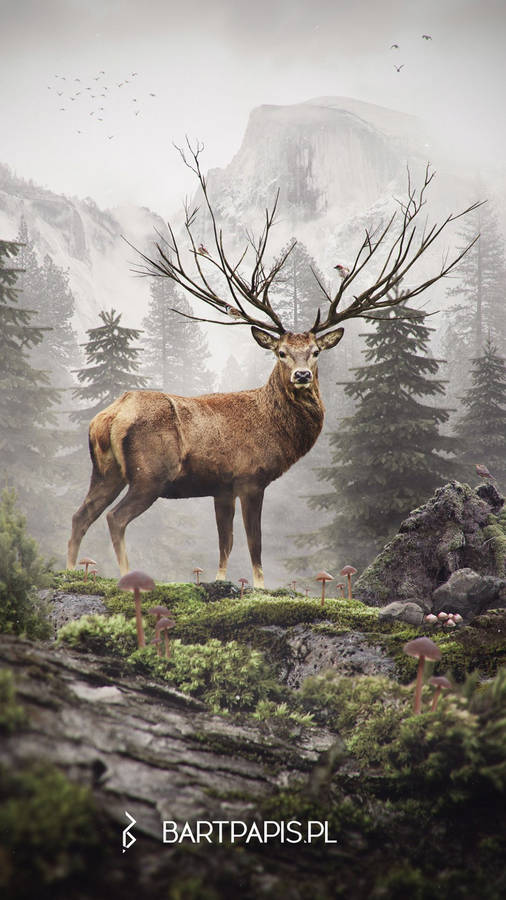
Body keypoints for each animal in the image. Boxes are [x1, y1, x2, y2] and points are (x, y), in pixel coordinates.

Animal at [67, 145, 480, 587]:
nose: (301, 375)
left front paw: (221, 580)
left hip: (105, 471)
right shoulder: (250, 476)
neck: (274, 430)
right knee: (115, 518)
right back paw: (127, 575)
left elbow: (225, 543)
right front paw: (261, 586)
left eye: (315, 351)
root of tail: (109, 417)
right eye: (280, 352)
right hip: (150, 472)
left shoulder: (221, 485)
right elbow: (254, 542)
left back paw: (70, 570)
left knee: (79, 515)